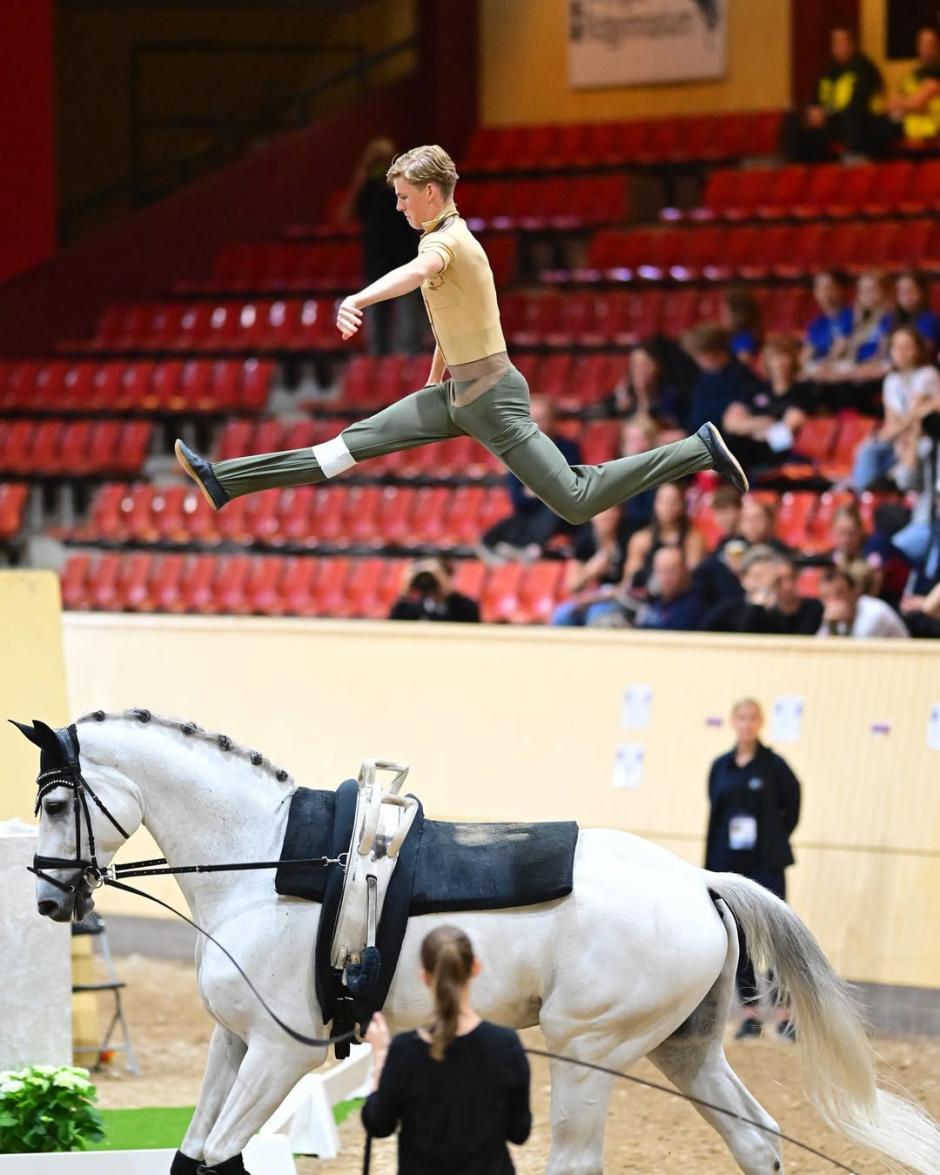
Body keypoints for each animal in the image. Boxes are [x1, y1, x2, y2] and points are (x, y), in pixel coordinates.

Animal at [22, 705, 939, 1175]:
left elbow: (218, 1155)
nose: (47, 898)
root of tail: (701, 880)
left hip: (591, 1051)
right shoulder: (234, 1041)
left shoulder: (283, 1052)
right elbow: (193, 1154)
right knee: (755, 1140)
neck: (269, 860)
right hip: (684, 1048)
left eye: (58, 803)